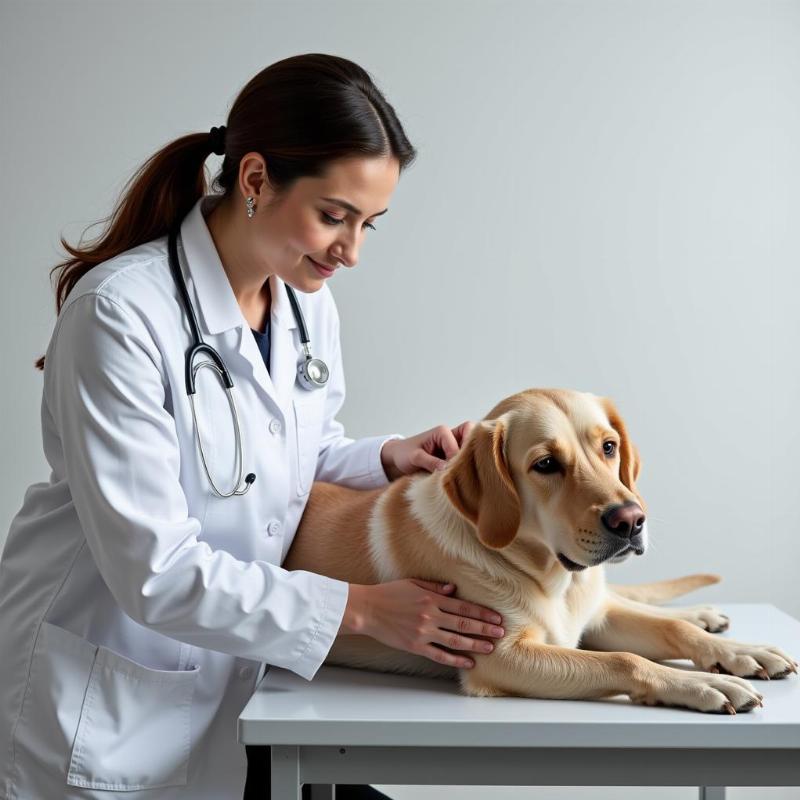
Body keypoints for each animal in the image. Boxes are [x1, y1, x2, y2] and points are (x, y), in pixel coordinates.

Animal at [284, 388, 796, 712]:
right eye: (546, 464)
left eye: (609, 446)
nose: (631, 520)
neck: (550, 576)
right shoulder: (502, 655)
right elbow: (625, 659)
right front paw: (704, 683)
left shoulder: (591, 617)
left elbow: (671, 629)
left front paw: (737, 654)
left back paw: (711, 620)